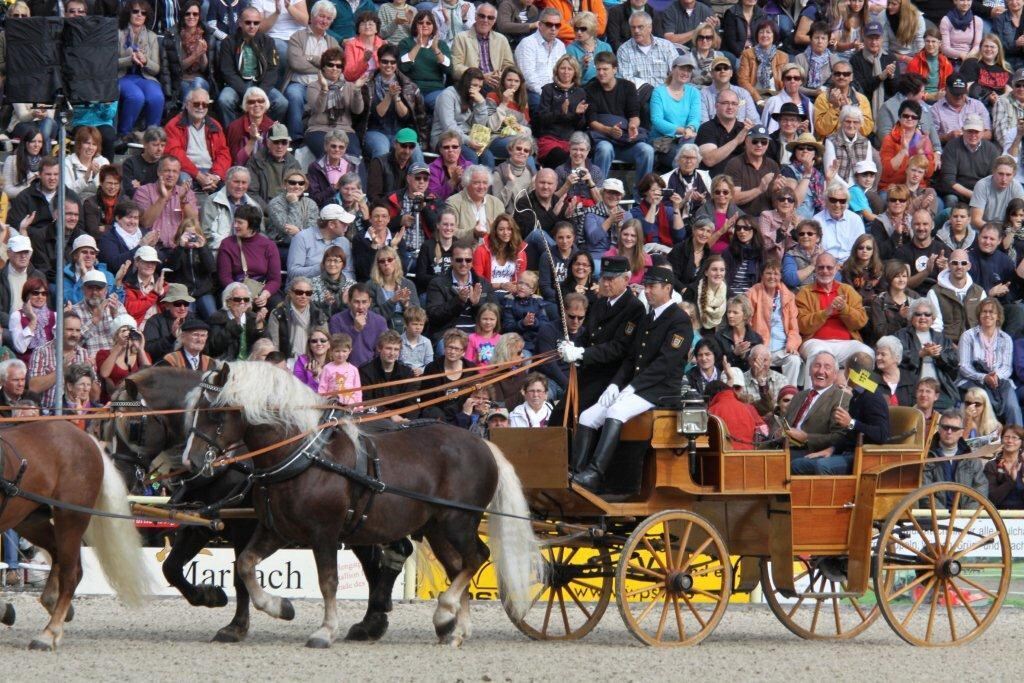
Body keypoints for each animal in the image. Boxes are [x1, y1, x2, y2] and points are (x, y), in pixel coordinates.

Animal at [0, 419, 151, 651]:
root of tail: (86, 439)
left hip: (70, 517)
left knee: (71, 572)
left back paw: (49, 633)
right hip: (29, 519)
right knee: (57, 553)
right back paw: (52, 602)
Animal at [181, 360, 540, 651]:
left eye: (215, 413)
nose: (191, 462)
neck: (304, 455)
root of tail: (482, 443)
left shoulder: (323, 533)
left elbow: (328, 581)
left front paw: (325, 631)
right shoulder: (276, 529)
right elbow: (245, 565)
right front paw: (281, 607)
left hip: (458, 522)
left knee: (477, 557)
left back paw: (444, 612)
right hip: (437, 528)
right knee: (458, 565)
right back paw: (455, 629)